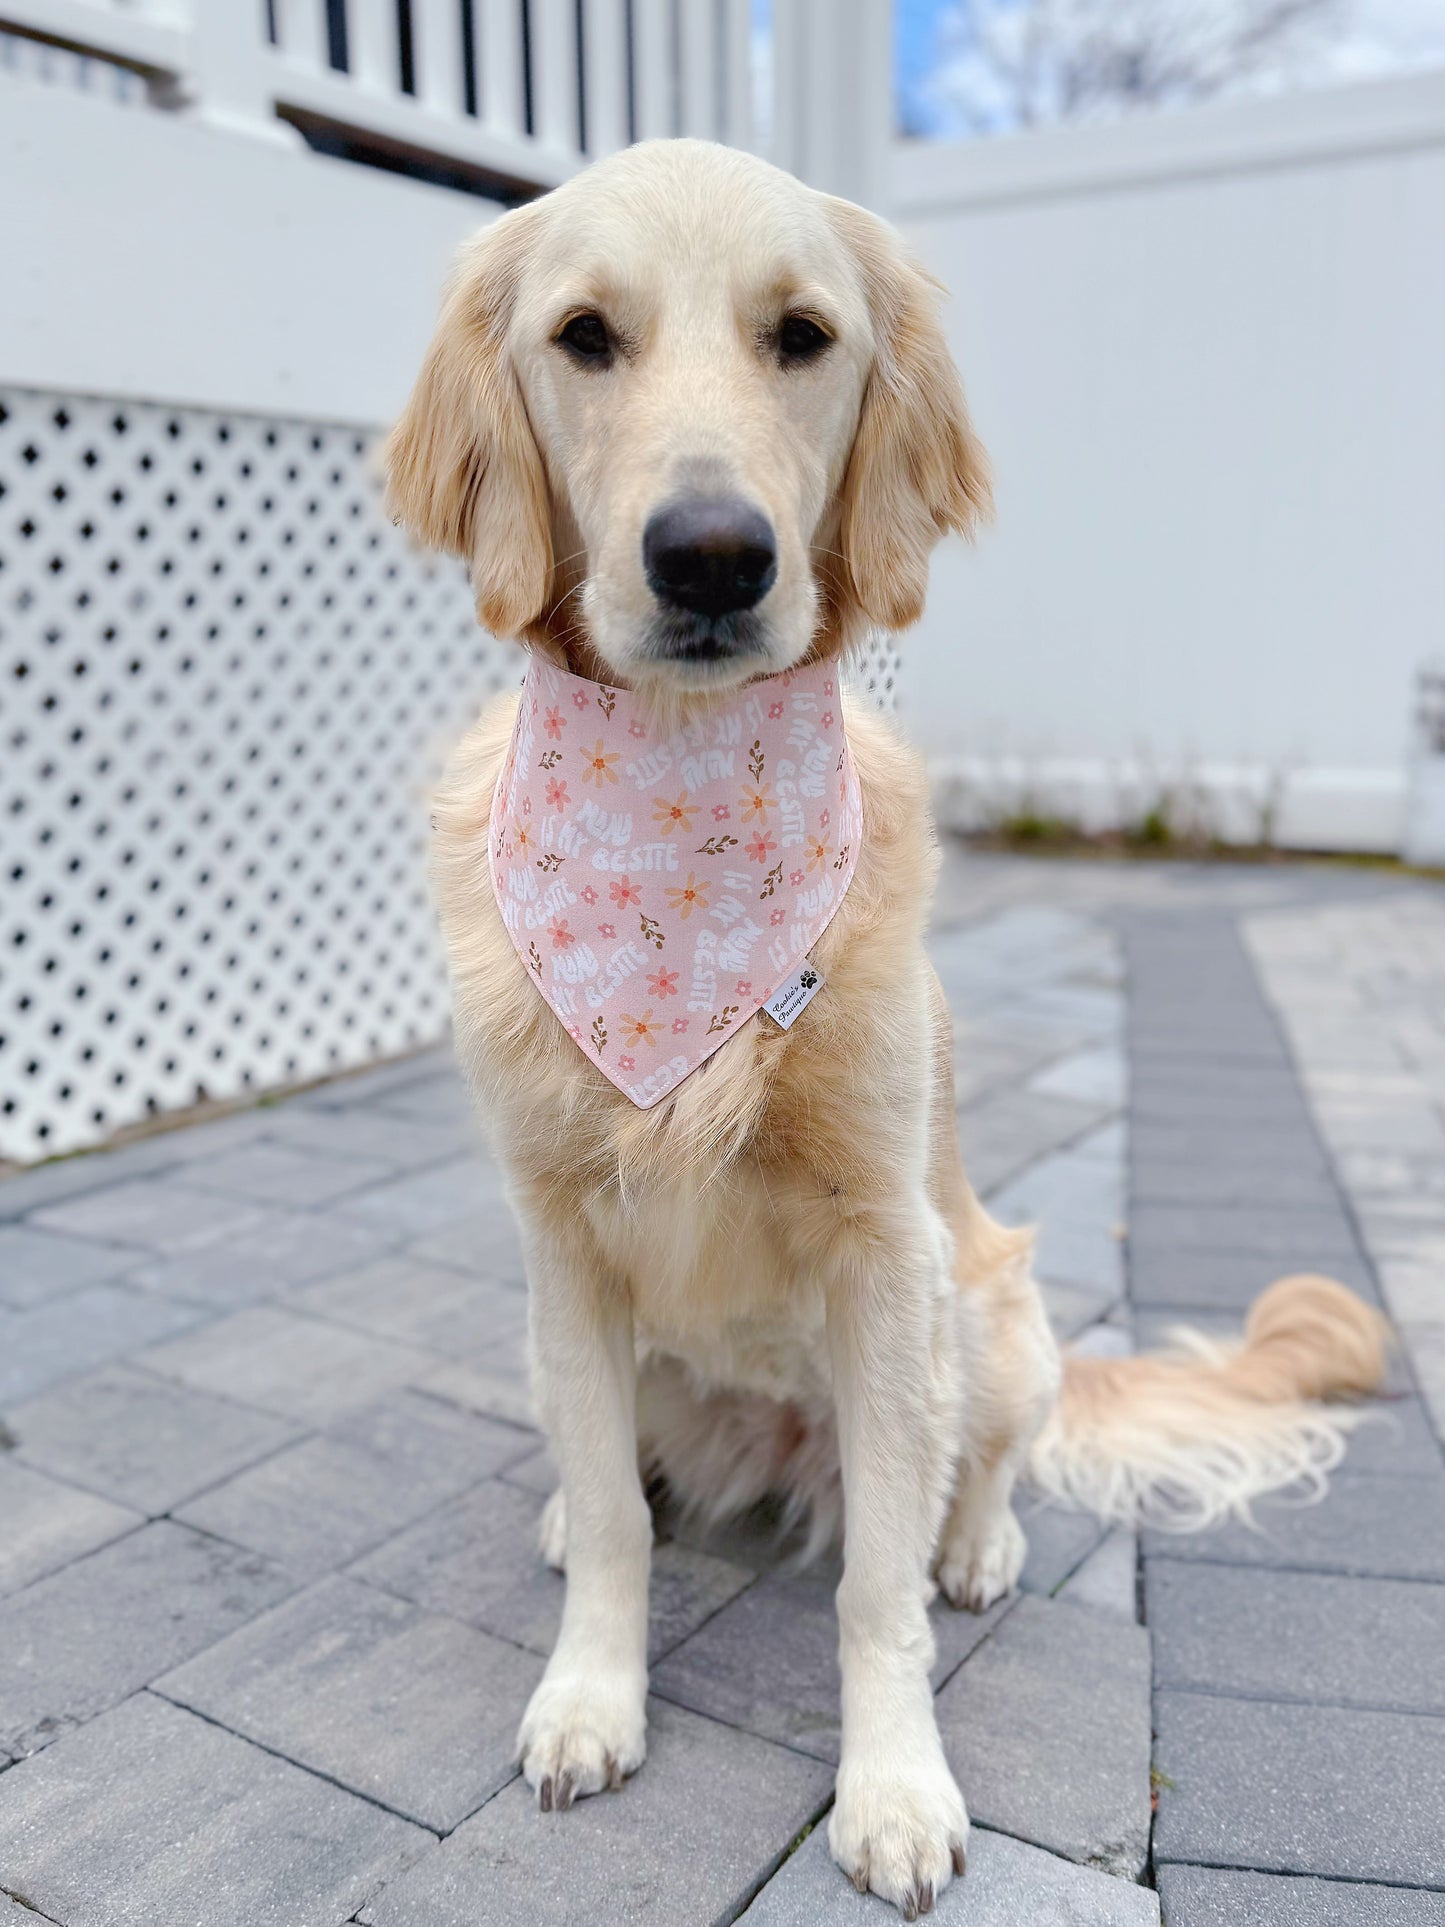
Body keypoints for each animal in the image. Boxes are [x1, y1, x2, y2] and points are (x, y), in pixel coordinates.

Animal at [385, 142, 1394, 1919]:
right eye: (583, 336)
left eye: (802, 336)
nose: (712, 557)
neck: (680, 829)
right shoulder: (557, 1237)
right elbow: (623, 1516)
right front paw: (590, 1690)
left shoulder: (883, 1247)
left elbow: (874, 1587)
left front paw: (898, 1785)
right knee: (619, 1469)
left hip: (984, 1309)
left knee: (968, 1465)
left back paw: (976, 1541)